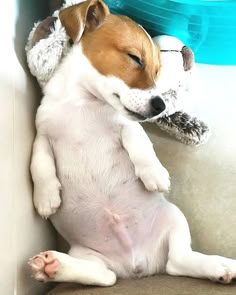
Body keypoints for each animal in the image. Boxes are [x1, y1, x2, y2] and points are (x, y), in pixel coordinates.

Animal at [29, 0, 236, 286]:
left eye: (158, 71)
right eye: (135, 58)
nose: (160, 105)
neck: (84, 103)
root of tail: (136, 263)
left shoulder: (126, 127)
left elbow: (141, 147)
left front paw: (155, 175)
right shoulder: (43, 134)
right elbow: (38, 163)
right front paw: (46, 197)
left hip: (175, 220)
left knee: (178, 260)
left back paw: (220, 266)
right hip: (86, 253)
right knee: (104, 276)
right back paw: (54, 266)